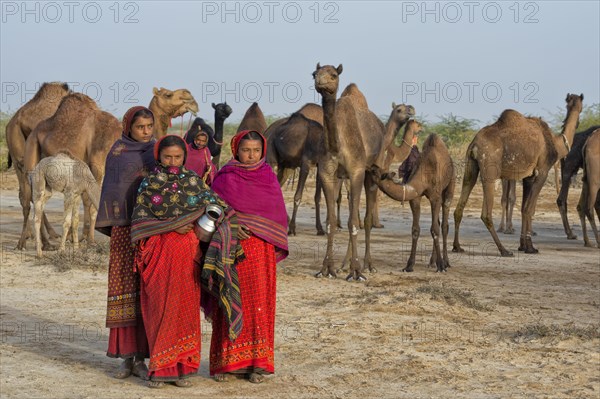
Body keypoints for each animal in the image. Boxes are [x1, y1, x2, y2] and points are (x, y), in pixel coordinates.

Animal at [5, 82, 71, 247]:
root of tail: (20, 120)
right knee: (34, 197)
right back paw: (45, 240)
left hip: (19, 161)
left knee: (26, 196)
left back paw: (26, 240)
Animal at [310, 63, 390, 282]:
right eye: (314, 73)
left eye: (333, 74)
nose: (320, 81)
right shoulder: (327, 173)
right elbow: (332, 221)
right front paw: (327, 268)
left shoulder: (356, 171)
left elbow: (355, 222)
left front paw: (357, 272)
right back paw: (343, 265)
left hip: (373, 171)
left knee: (366, 219)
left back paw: (368, 265)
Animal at [370, 130, 454, 274]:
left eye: (374, 171)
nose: (366, 168)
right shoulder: (415, 197)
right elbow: (415, 229)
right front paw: (409, 266)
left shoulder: (435, 197)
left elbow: (435, 229)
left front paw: (441, 266)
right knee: (437, 223)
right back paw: (432, 262)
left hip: (449, 186)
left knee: (444, 224)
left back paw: (446, 262)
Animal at [452, 94, 584, 256]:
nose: (579, 122)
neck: (556, 143)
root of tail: (474, 144)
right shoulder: (543, 171)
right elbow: (530, 209)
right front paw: (531, 247)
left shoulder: (528, 177)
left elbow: (523, 209)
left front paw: (523, 246)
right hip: (490, 169)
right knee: (486, 213)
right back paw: (504, 250)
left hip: (470, 167)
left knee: (459, 206)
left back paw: (457, 246)